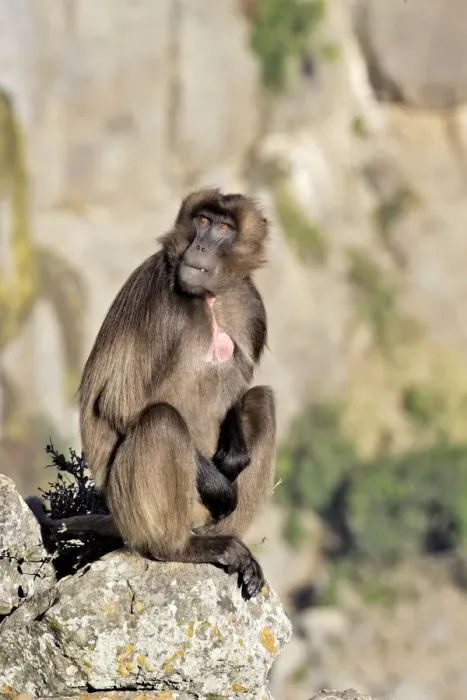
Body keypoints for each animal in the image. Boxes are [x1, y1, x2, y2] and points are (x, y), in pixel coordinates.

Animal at [27, 188, 276, 599]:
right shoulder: (159, 296)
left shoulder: (250, 306)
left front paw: (235, 456)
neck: (207, 298)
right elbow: (121, 404)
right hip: (133, 509)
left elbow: (240, 394)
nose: (201, 247)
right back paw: (181, 547)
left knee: (261, 401)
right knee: (161, 419)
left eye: (224, 228)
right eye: (203, 221)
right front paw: (219, 485)